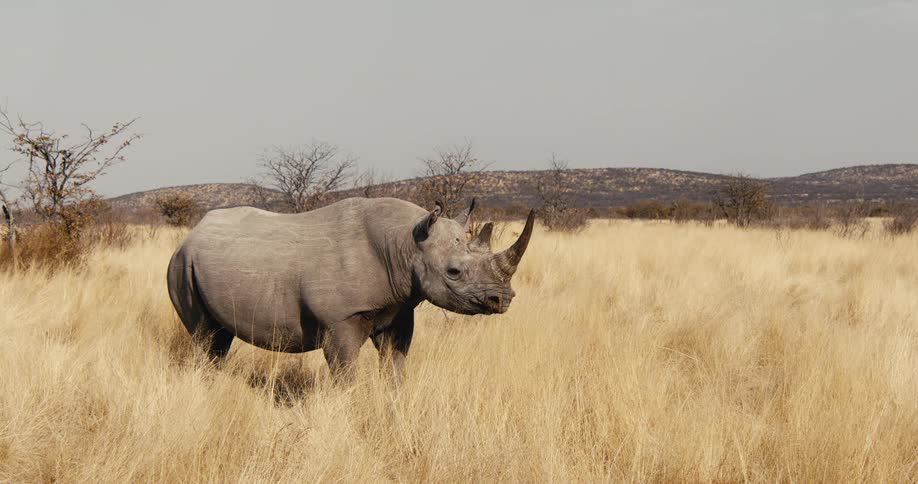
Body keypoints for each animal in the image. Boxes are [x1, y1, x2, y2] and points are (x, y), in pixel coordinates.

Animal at [167, 197, 535, 381]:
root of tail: (191, 234)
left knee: (218, 338)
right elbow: (345, 373)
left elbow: (396, 366)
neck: (406, 244)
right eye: (454, 272)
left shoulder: (399, 309)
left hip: (202, 262)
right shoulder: (340, 320)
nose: (502, 299)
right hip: (181, 264)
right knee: (203, 335)